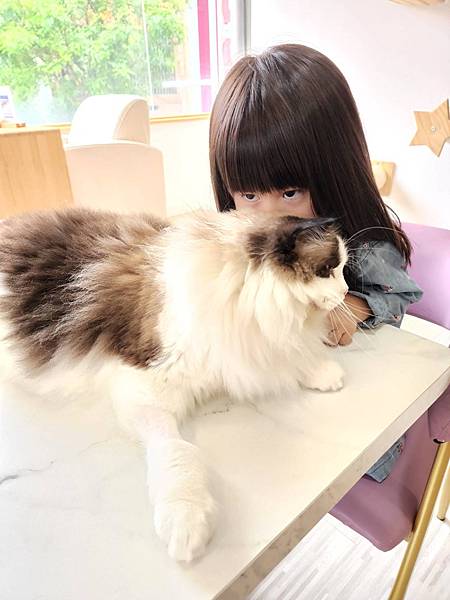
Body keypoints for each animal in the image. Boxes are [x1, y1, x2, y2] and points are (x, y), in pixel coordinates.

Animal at [0, 207, 348, 562]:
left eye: (341, 269)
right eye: (329, 270)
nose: (347, 291)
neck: (237, 289)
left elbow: (286, 357)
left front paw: (322, 373)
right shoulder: (146, 389)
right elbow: (175, 449)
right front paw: (186, 521)